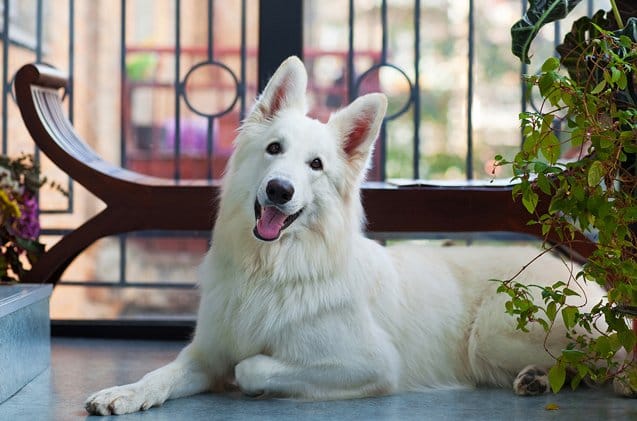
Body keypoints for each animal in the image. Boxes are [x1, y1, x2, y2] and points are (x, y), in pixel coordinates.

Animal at [83, 55, 608, 414]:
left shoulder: (373, 364)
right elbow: (161, 373)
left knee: (605, 357)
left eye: (316, 165)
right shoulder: (204, 353)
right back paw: (538, 378)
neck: (269, 270)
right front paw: (124, 392)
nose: (279, 190)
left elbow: (251, 365)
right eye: (274, 149)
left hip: (491, 336)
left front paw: (252, 383)